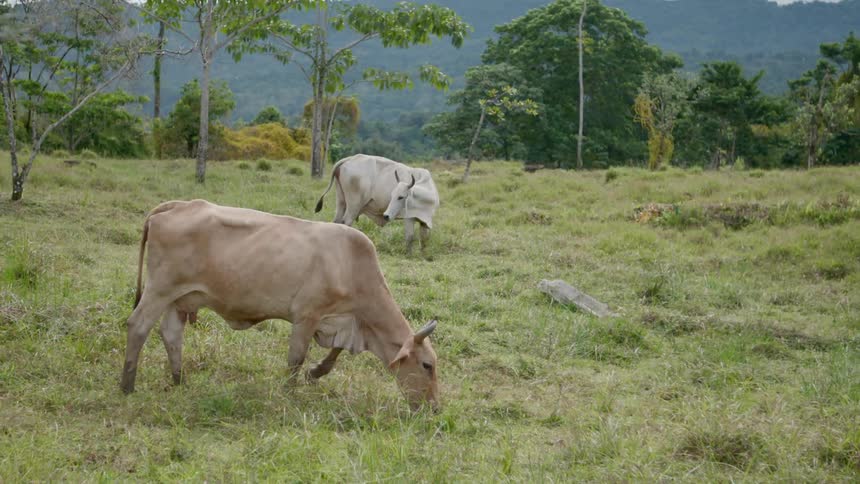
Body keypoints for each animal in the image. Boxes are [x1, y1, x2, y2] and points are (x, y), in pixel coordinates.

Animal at [121, 199, 440, 411]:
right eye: (427, 365)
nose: (434, 408)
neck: (351, 266)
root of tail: (176, 205)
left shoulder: (341, 321)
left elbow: (333, 355)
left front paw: (315, 373)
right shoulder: (306, 316)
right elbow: (296, 359)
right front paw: (289, 392)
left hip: (179, 298)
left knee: (171, 334)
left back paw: (178, 381)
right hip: (159, 289)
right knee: (138, 325)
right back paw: (127, 386)